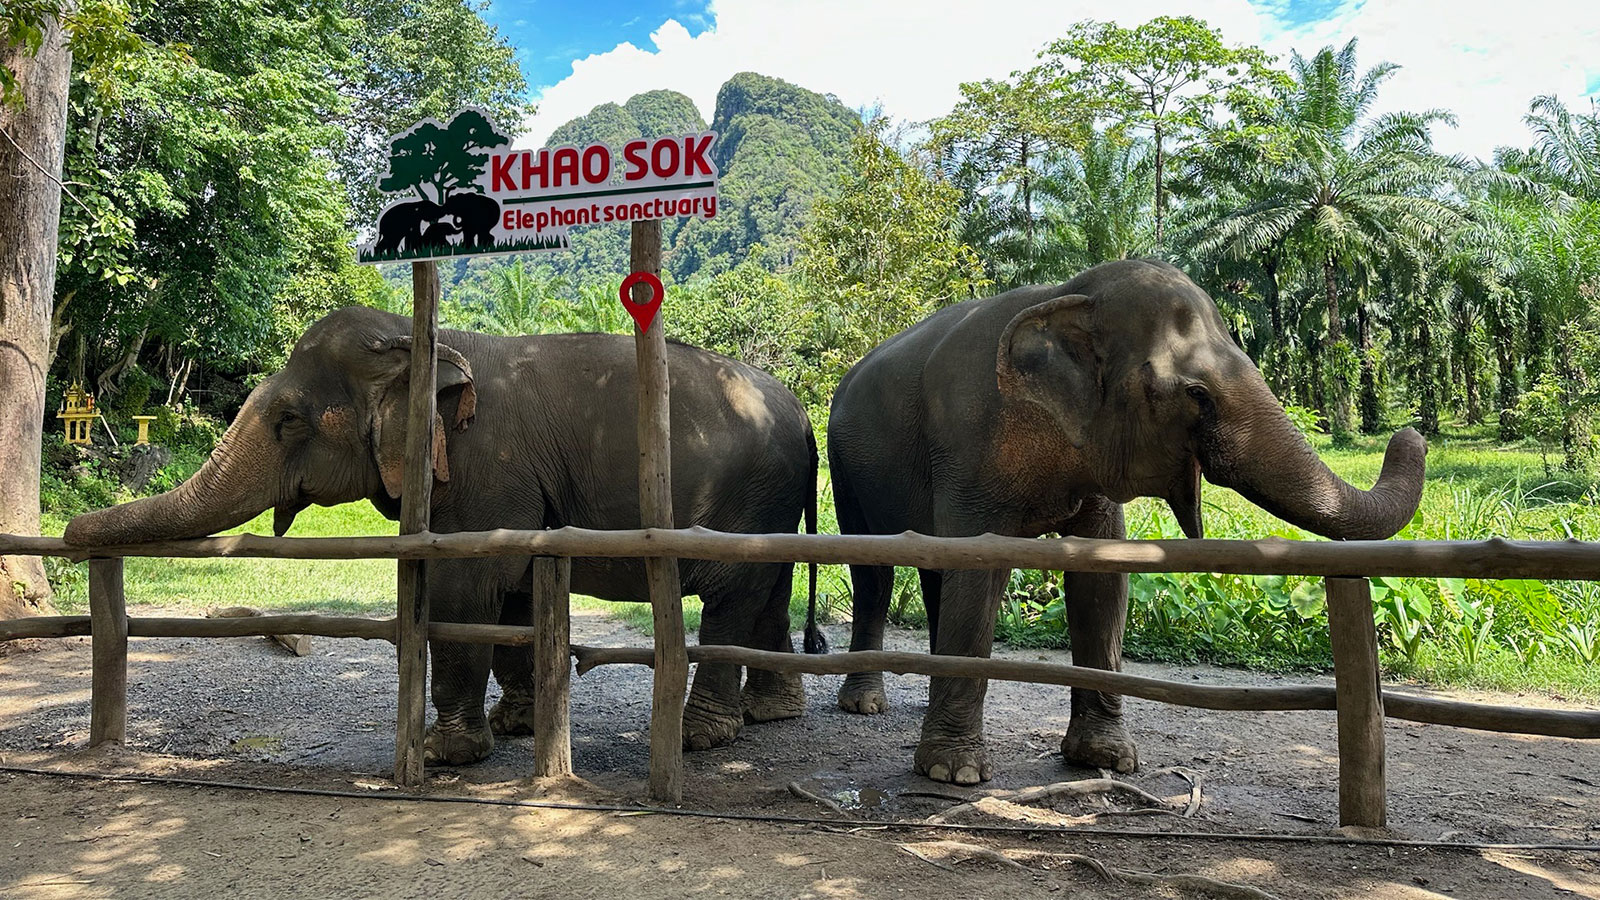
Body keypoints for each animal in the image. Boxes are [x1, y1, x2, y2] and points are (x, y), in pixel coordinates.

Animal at [65, 306, 824, 766]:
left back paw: (702, 737)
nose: (73, 534)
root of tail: (800, 414)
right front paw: (517, 724)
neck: (424, 338)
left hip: (745, 503)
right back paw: (770, 714)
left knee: (732, 599)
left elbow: (469, 590)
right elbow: (515, 593)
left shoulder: (487, 466)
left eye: (288, 420)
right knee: (768, 593)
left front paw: (442, 752)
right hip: (772, 505)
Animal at [821, 259, 1426, 785]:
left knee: (932, 574)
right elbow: (978, 570)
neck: (1065, 295)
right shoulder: (968, 445)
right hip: (845, 467)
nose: (1410, 432)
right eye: (1196, 393)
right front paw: (954, 772)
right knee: (873, 573)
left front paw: (1107, 760)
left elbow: (1101, 577)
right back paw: (865, 704)